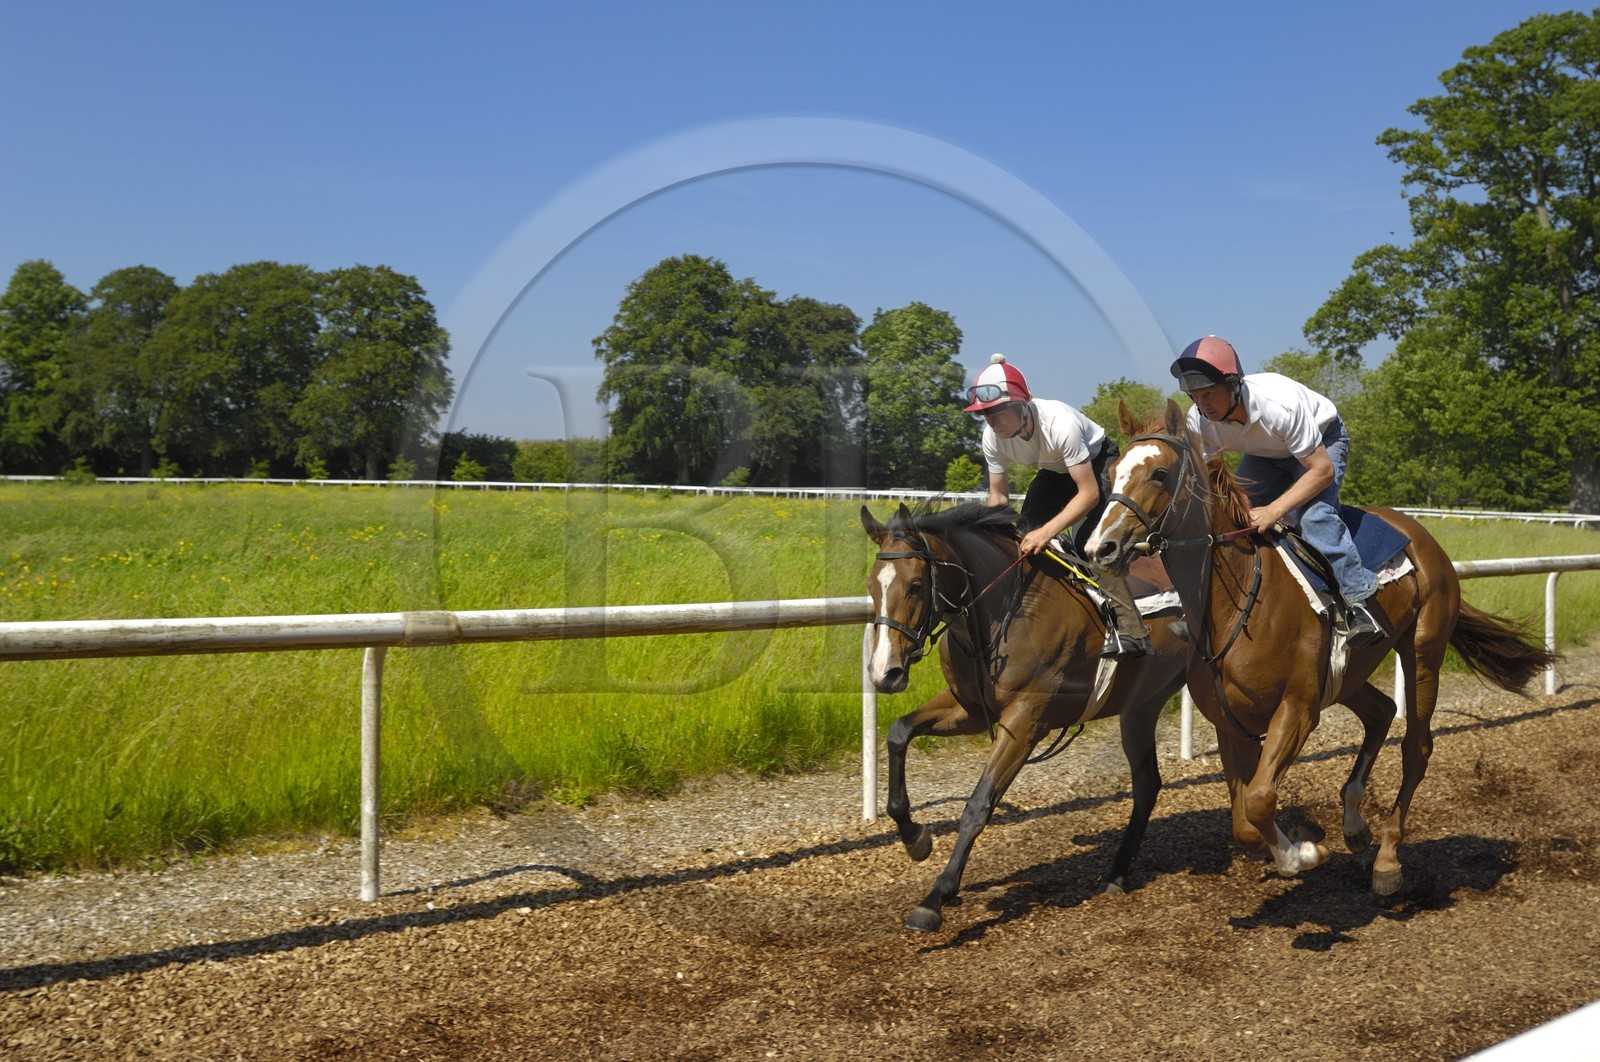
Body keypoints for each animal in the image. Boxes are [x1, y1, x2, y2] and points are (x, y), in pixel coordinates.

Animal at [861, 500, 1189, 931]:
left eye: (915, 586)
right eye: (871, 587)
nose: (885, 673)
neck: (1002, 614)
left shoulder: (1025, 721)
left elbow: (978, 805)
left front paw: (935, 897)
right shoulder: (970, 708)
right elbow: (899, 732)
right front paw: (916, 838)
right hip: (1143, 704)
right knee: (1148, 783)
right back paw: (1117, 873)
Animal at [1085, 400, 1555, 895]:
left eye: (1159, 473)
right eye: (1112, 471)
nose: (1100, 548)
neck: (1230, 604)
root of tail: (1421, 535)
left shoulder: (1297, 708)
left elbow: (1259, 799)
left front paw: (1305, 852)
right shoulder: (1232, 722)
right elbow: (1244, 819)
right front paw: (1293, 844)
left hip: (1423, 651)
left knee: (1417, 746)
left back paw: (1387, 858)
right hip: (1347, 673)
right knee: (1382, 711)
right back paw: (1354, 824)